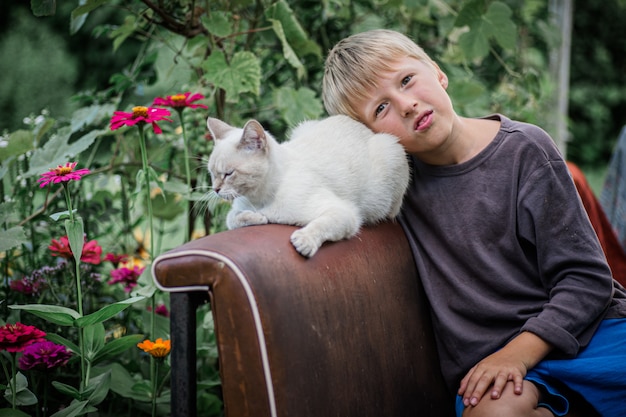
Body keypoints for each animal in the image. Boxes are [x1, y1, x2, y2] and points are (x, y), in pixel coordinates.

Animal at [205, 114, 410, 256]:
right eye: (212, 173)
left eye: (228, 174)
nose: (215, 190)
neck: (260, 199)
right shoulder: (237, 210)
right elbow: (233, 218)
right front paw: (256, 218)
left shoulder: (344, 212)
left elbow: (320, 224)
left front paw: (302, 241)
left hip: (391, 154)